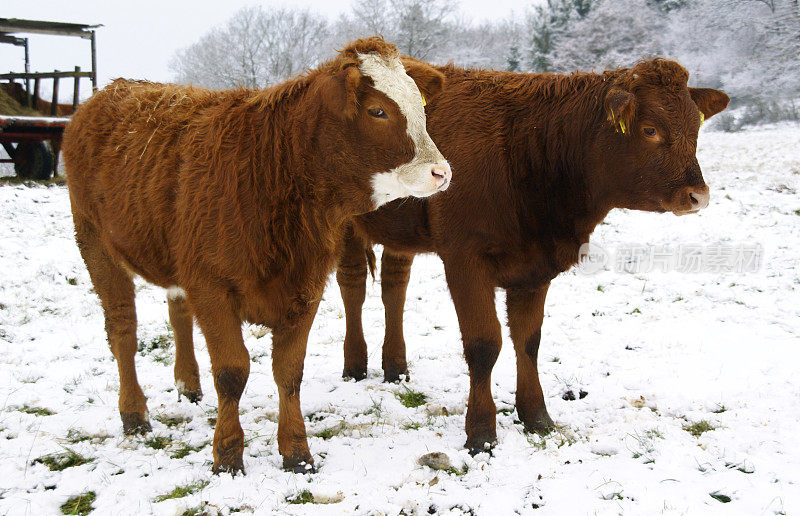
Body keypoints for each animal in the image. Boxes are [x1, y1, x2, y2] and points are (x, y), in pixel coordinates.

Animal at [62, 38, 450, 476]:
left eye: (420, 106)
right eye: (377, 111)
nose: (442, 172)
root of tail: (109, 91)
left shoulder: (307, 285)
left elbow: (289, 371)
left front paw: (297, 452)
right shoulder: (211, 287)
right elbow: (232, 371)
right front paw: (228, 456)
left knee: (177, 314)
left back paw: (188, 386)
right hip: (95, 245)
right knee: (122, 332)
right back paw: (134, 415)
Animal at [334, 56, 728, 452]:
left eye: (695, 127)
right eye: (649, 129)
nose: (698, 195)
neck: (527, 147)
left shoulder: (534, 266)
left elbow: (529, 341)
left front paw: (537, 417)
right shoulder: (465, 260)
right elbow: (484, 343)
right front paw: (481, 433)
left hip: (400, 233)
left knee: (394, 288)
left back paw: (396, 368)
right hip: (344, 225)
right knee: (353, 287)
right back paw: (354, 367)